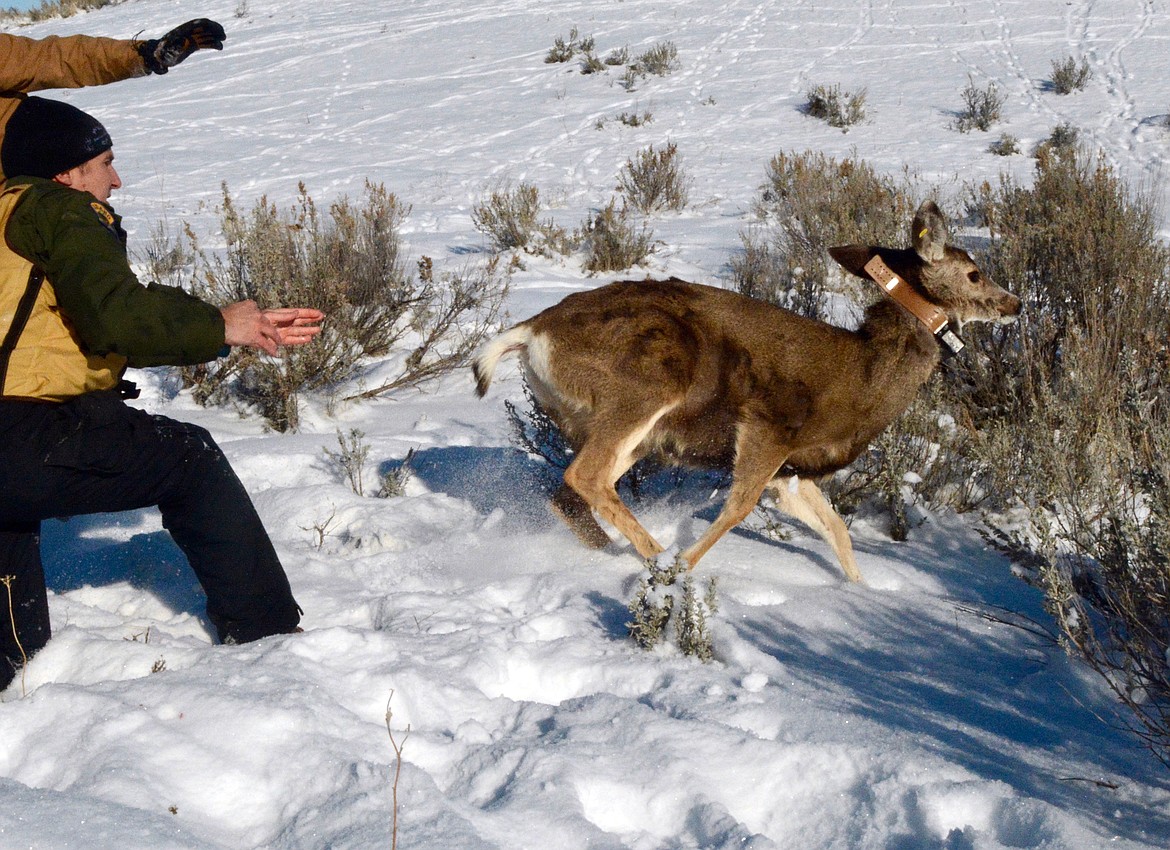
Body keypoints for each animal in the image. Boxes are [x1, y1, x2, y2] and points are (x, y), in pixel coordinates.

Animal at [470, 202, 1020, 583]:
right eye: (974, 273)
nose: (1014, 303)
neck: (864, 378)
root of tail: (531, 333)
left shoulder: (793, 469)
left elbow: (836, 529)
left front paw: (861, 590)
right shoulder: (769, 426)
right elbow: (737, 508)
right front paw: (684, 568)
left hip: (633, 429)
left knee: (570, 492)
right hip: (645, 384)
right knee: (584, 476)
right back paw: (657, 556)